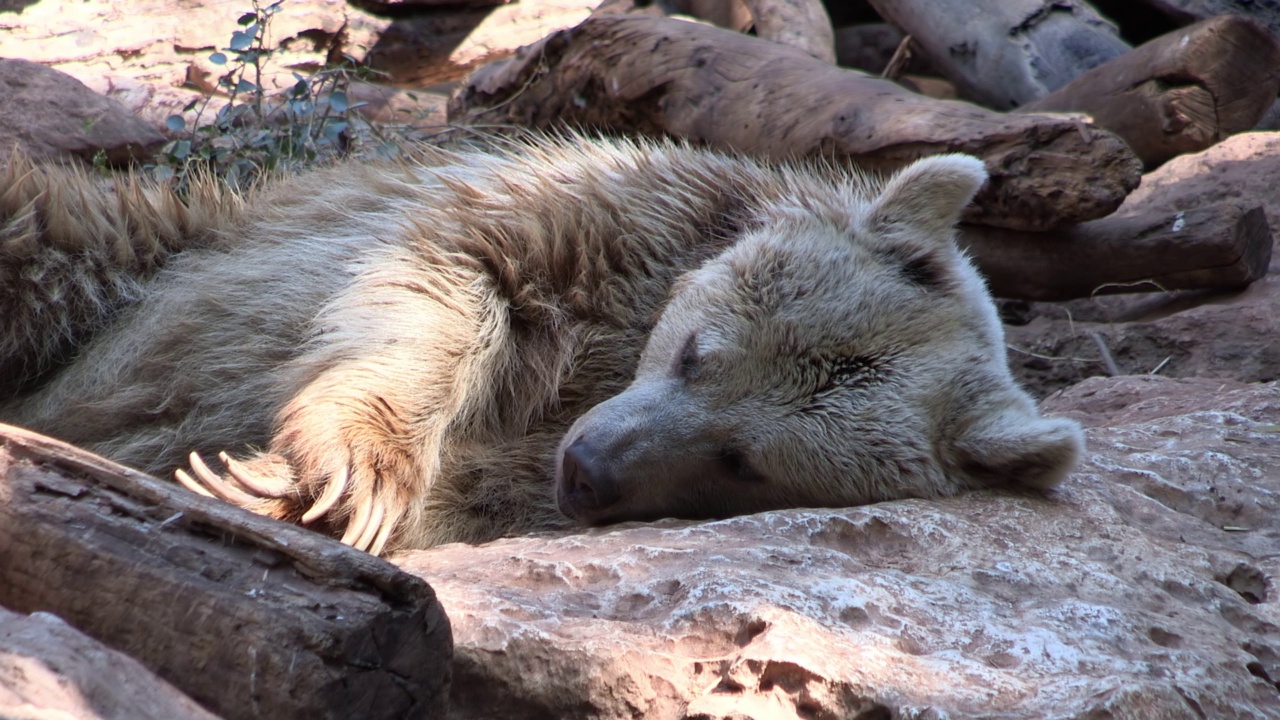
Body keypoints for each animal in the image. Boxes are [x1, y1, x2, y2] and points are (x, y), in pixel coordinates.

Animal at [0, 134, 1080, 550]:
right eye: (697, 352)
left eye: (748, 461)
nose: (589, 467)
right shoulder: (603, 221)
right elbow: (449, 281)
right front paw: (346, 470)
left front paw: (286, 490)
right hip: (127, 254)